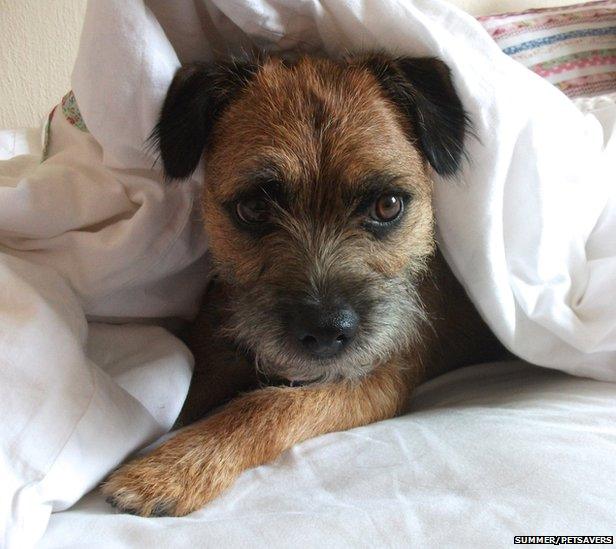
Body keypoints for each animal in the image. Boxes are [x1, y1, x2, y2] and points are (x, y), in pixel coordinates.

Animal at [102, 53, 506, 516]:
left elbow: (270, 404)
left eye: (388, 205)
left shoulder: (380, 377)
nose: (326, 330)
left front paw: (172, 470)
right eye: (254, 208)